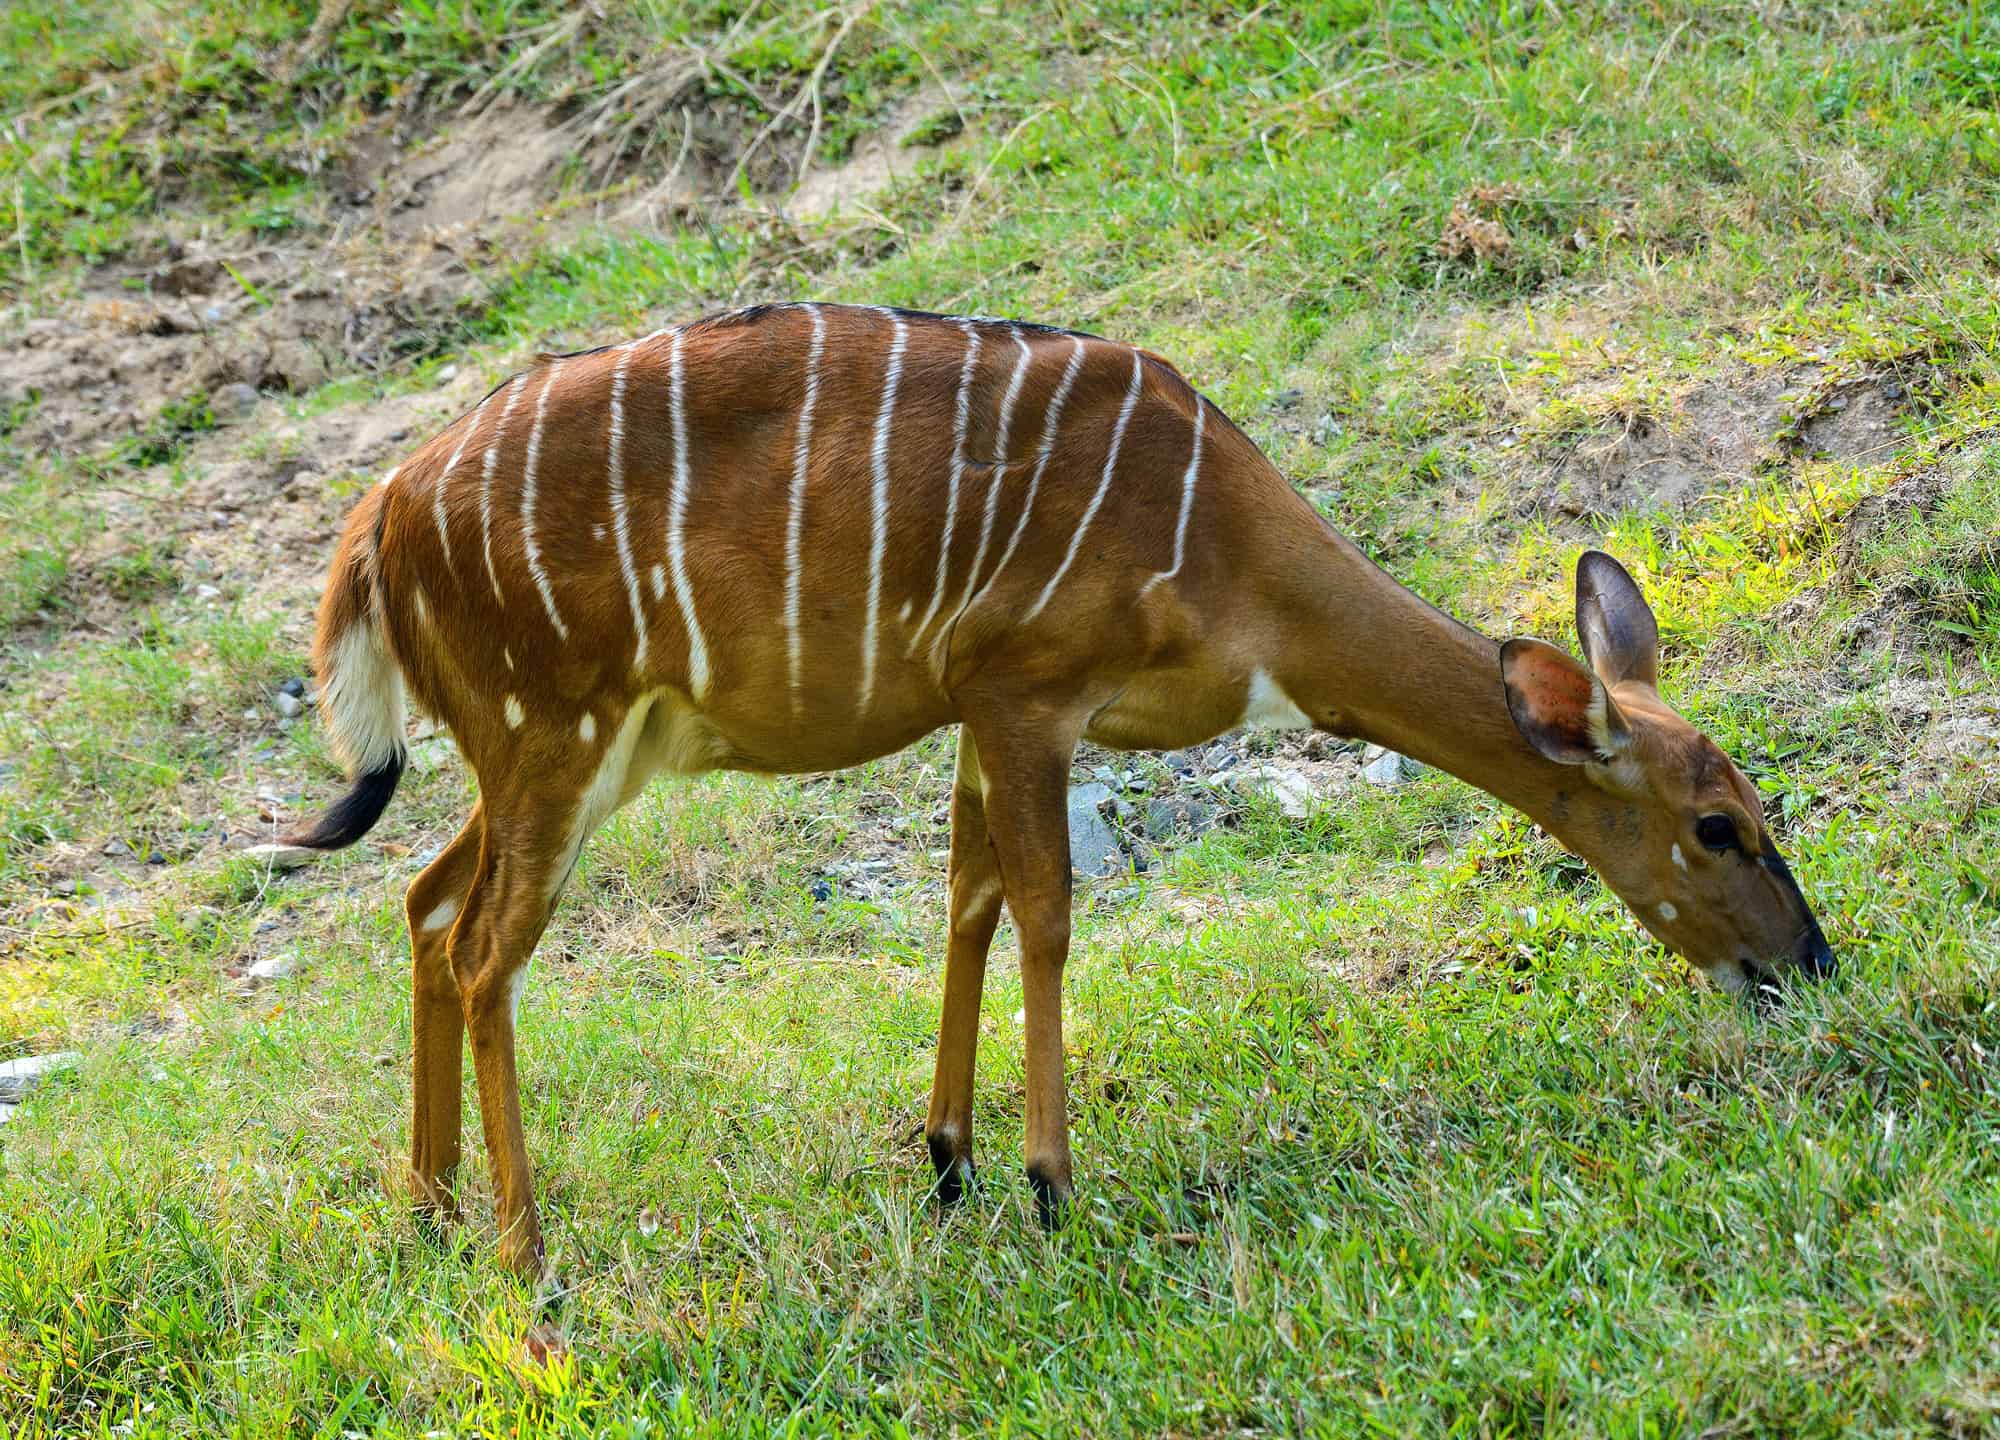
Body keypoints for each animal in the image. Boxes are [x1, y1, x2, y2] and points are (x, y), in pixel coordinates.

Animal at [290, 304, 1832, 1272]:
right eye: (1718, 828)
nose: (1809, 966)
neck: (1234, 565)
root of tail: (379, 519)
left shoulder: (978, 711)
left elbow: (967, 898)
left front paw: (949, 1161)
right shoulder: (1024, 691)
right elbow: (1042, 911)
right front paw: (1047, 1185)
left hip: (560, 756)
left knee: (426, 904)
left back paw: (428, 1214)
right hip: (554, 738)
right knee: (486, 953)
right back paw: (526, 1255)